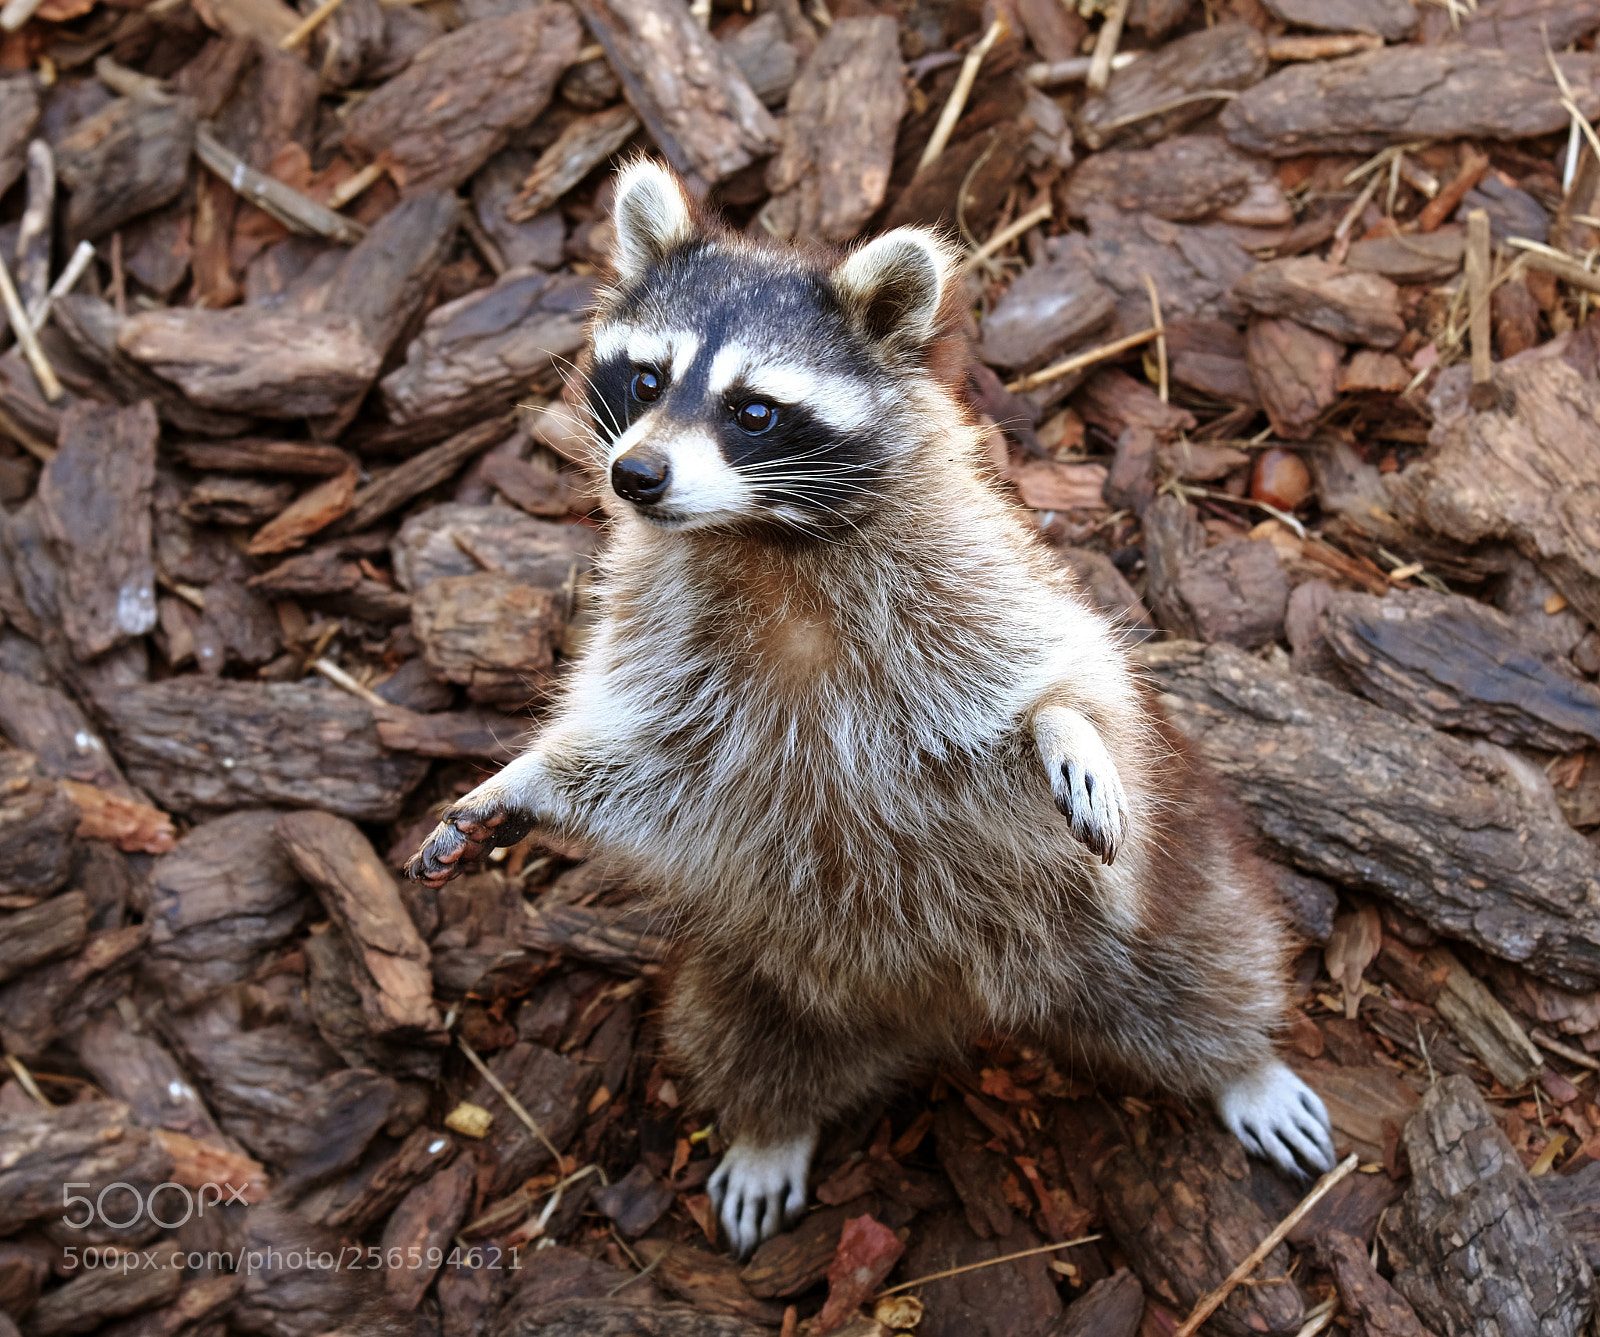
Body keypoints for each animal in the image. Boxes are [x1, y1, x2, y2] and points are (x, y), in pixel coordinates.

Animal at [408, 159, 1335, 1257]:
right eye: (647, 380)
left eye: (752, 410)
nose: (635, 474)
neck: (759, 535)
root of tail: (959, 1004)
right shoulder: (663, 629)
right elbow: (642, 748)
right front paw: (527, 780)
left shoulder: (967, 569)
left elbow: (1062, 666)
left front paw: (1064, 724)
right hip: (756, 965)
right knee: (741, 1036)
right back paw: (771, 1127)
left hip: (1151, 903)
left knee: (1203, 969)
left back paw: (1240, 1062)